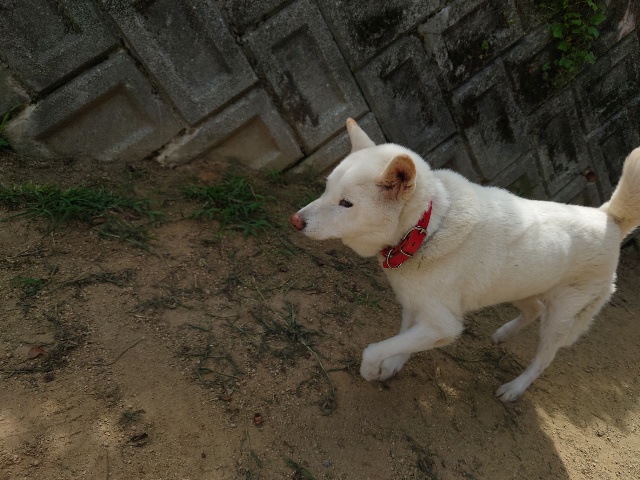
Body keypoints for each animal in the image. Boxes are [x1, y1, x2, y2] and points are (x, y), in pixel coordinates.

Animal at [290, 118, 640, 402]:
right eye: (326, 189)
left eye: (346, 204)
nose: (295, 221)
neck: (426, 229)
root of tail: (607, 217)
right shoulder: (415, 304)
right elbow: (402, 340)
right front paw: (392, 365)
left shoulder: (444, 324)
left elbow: (377, 347)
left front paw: (373, 369)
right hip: (518, 286)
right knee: (533, 309)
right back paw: (504, 334)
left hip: (561, 318)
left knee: (544, 357)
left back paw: (514, 388)